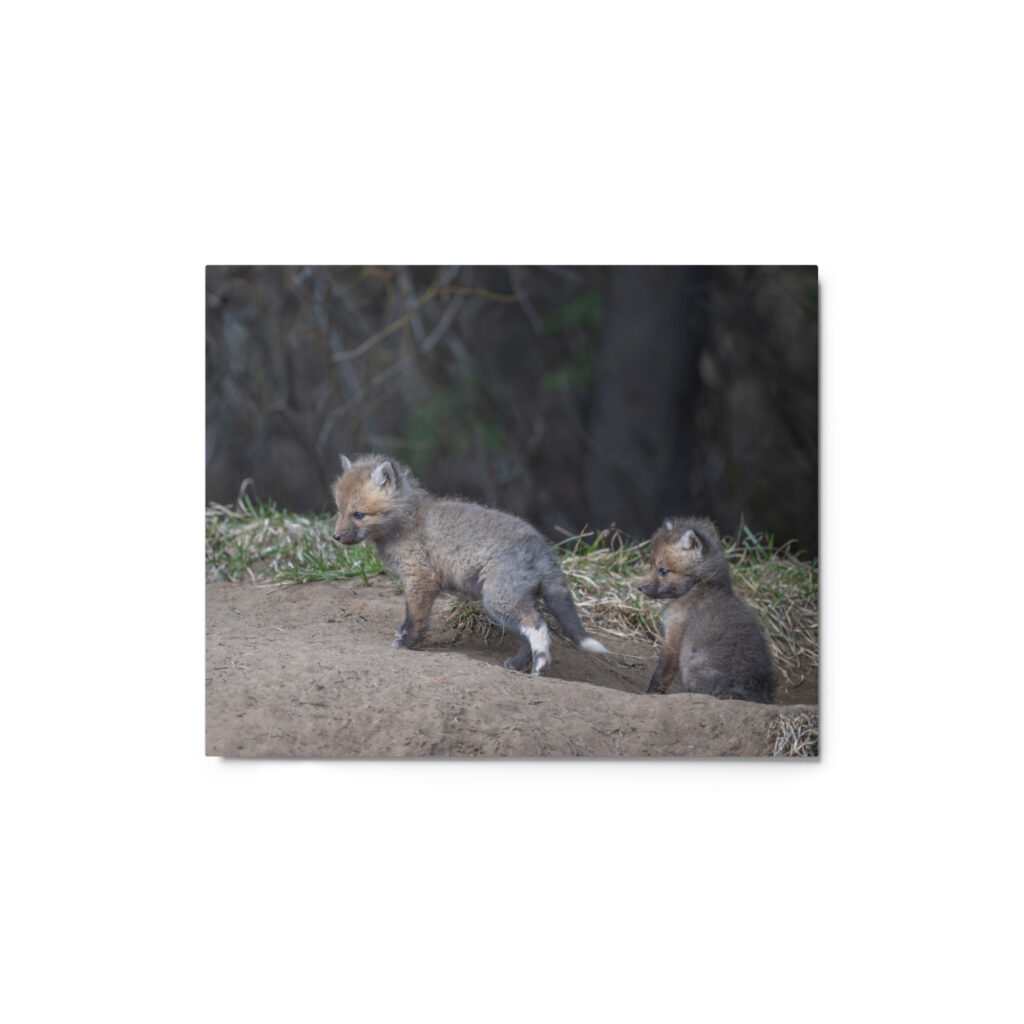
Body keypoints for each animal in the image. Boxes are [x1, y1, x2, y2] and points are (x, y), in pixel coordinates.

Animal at [330, 454, 609, 675]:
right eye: (339, 510)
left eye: (359, 514)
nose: (335, 537)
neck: (405, 521)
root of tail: (544, 549)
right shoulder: (421, 583)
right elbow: (412, 615)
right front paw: (405, 636)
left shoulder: (420, 578)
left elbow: (415, 617)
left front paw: (409, 643)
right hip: (511, 602)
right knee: (526, 634)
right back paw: (519, 665)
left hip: (498, 600)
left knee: (538, 625)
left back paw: (540, 665)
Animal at [637, 517, 774, 703]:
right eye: (651, 565)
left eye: (663, 570)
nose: (639, 587)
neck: (700, 586)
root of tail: (754, 693)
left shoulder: (674, 637)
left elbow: (661, 674)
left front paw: (649, 694)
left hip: (692, 671)